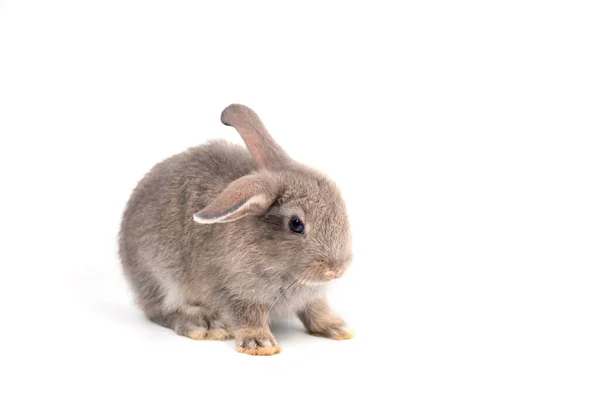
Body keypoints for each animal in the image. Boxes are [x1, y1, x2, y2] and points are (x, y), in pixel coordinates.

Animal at [119, 104, 354, 356]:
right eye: (296, 224)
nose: (338, 269)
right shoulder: (235, 291)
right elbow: (248, 316)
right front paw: (260, 344)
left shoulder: (312, 297)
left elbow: (317, 310)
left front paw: (337, 328)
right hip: (161, 281)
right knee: (161, 312)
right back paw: (203, 326)